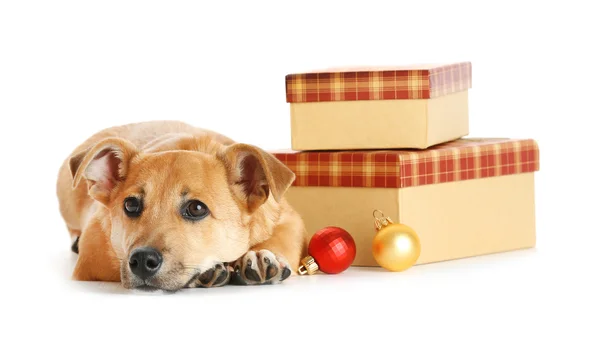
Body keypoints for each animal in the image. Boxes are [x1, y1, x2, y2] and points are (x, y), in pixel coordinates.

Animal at [55, 121, 310, 292]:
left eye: (196, 208)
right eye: (130, 205)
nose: (142, 261)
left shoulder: (289, 219)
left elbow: (281, 238)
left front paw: (257, 254)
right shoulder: (92, 257)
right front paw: (211, 270)